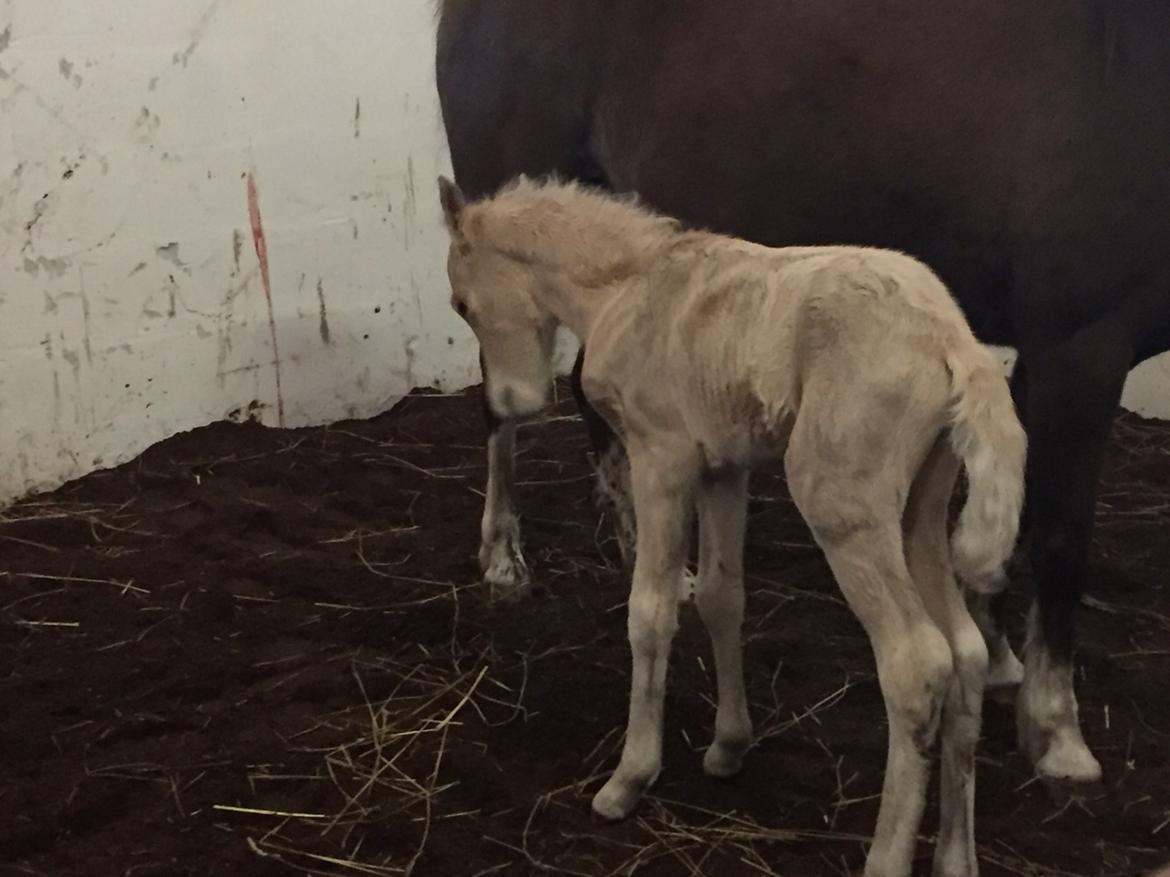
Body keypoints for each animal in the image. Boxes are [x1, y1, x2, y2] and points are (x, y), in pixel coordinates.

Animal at [434, 0, 1170, 784]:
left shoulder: (1039, 359)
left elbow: (1016, 519)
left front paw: (999, 653)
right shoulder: (1081, 350)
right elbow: (1062, 540)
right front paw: (1057, 729)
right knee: (501, 407)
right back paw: (502, 555)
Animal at [437, 175, 1025, 877]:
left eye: (461, 304)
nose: (509, 403)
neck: (626, 288)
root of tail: (952, 341)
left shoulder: (661, 459)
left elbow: (651, 613)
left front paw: (629, 779)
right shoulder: (724, 467)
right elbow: (722, 596)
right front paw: (728, 746)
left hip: (843, 503)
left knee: (916, 663)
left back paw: (885, 857)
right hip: (923, 507)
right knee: (965, 652)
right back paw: (956, 856)